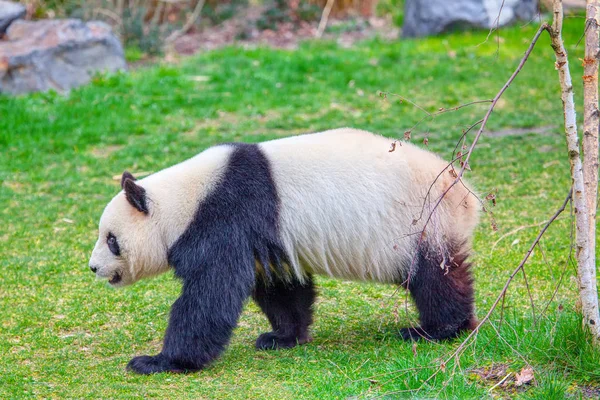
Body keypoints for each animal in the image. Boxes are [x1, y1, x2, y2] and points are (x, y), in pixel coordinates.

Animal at [89, 129, 480, 376]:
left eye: (111, 239)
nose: (93, 268)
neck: (183, 200)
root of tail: (464, 191)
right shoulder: (266, 237)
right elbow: (280, 285)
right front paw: (282, 337)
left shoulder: (226, 215)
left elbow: (212, 291)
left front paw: (158, 361)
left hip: (420, 220)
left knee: (434, 277)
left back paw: (437, 329)